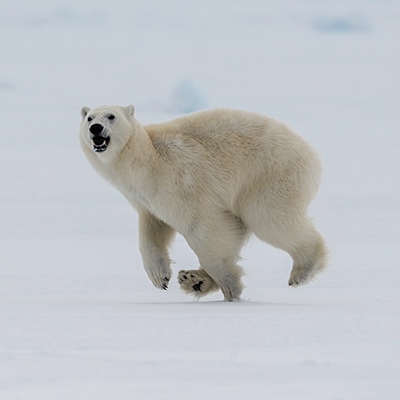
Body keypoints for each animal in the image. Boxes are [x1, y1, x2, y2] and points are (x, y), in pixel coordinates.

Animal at [79, 104, 328, 302]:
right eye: (89, 118)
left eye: (111, 116)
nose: (96, 128)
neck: (145, 161)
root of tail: (310, 152)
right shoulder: (145, 201)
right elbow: (153, 231)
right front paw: (160, 276)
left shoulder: (180, 182)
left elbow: (204, 229)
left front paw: (230, 287)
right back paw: (193, 279)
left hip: (268, 175)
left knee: (269, 219)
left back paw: (301, 270)